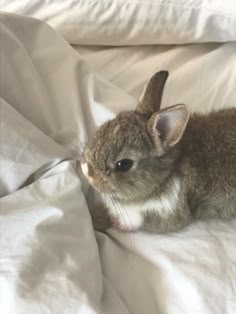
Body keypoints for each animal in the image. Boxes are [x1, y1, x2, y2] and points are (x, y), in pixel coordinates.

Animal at [81, 71, 236, 233]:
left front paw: (117, 222)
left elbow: (141, 219)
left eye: (123, 164)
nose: (87, 171)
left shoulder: (172, 210)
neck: (165, 174)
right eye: (105, 126)